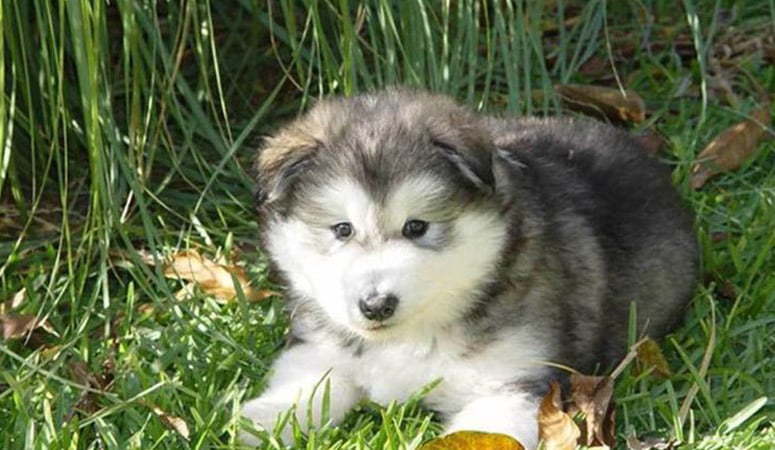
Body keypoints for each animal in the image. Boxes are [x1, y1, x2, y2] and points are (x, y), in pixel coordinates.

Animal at [238, 88, 696, 446]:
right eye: (342, 229)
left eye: (417, 226)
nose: (376, 305)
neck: (410, 336)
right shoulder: (320, 347)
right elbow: (307, 384)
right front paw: (260, 420)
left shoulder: (514, 384)